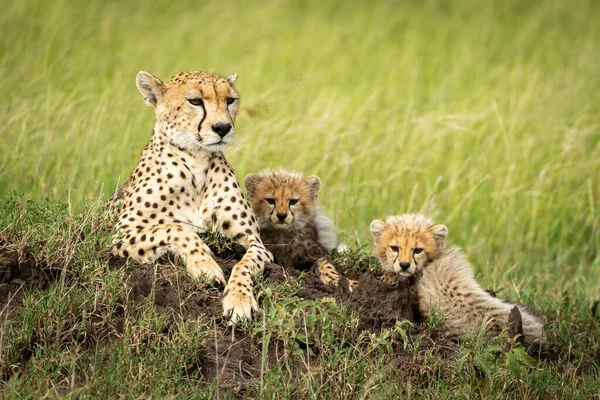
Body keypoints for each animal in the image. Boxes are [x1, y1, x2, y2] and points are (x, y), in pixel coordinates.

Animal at [107, 70, 274, 324]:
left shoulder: (256, 243)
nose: (223, 128)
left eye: (230, 100)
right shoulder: (119, 234)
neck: (196, 159)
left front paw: (239, 300)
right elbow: (177, 228)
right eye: (195, 101)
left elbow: (244, 264)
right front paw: (205, 266)